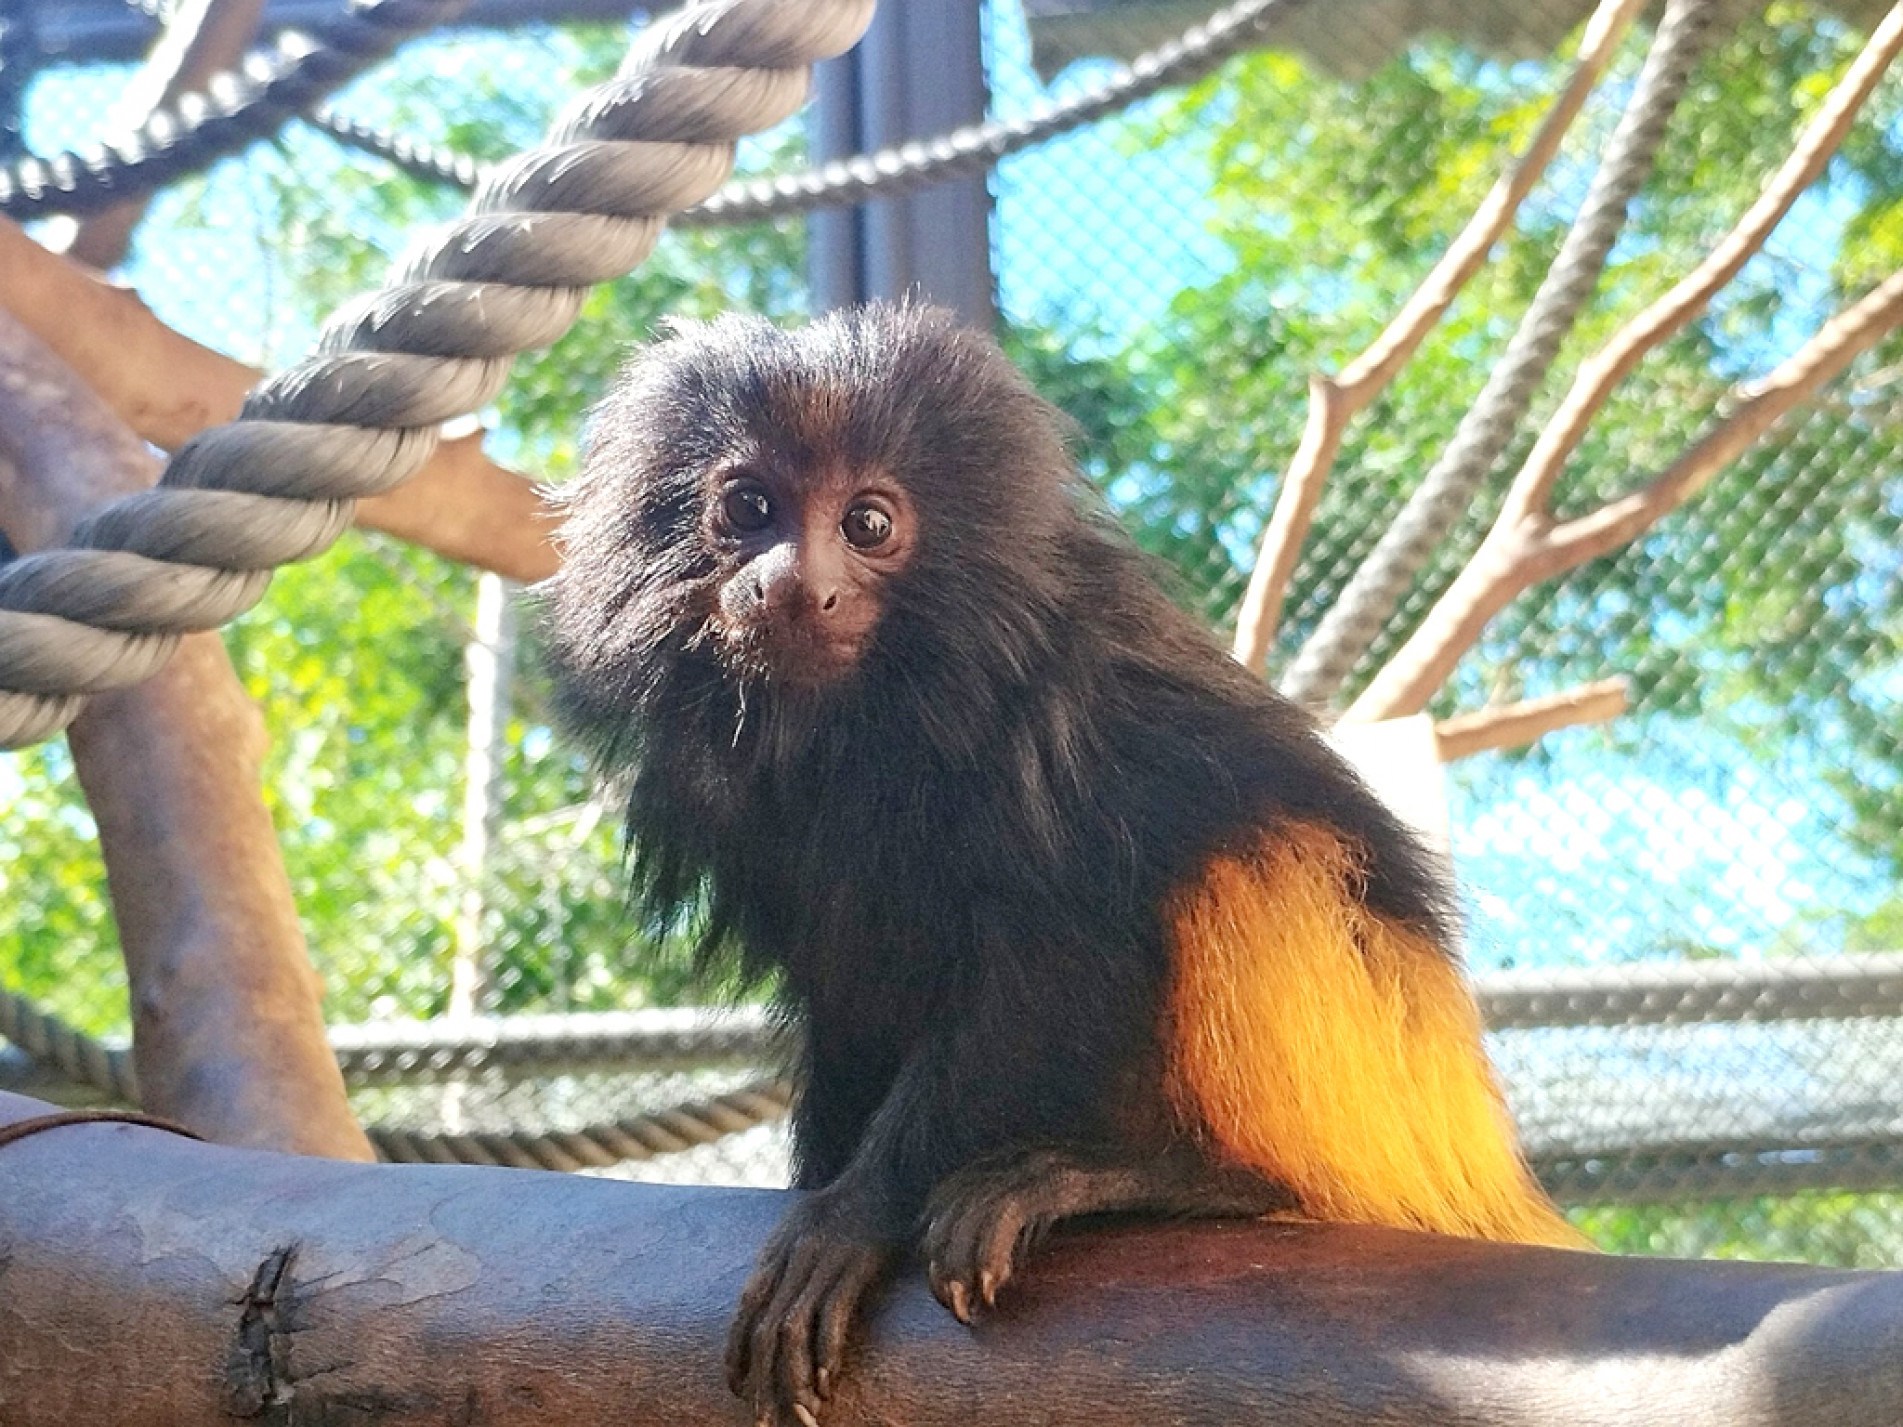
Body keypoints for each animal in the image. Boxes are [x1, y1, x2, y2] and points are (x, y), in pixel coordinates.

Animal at [544, 302, 1583, 1427]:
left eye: (869, 525)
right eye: (746, 506)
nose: (793, 584)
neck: (870, 723)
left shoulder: (1058, 713)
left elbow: (1055, 965)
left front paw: (854, 1213)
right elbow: (847, 995)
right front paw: (824, 1177)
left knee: (1253, 852)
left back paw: (1196, 1183)